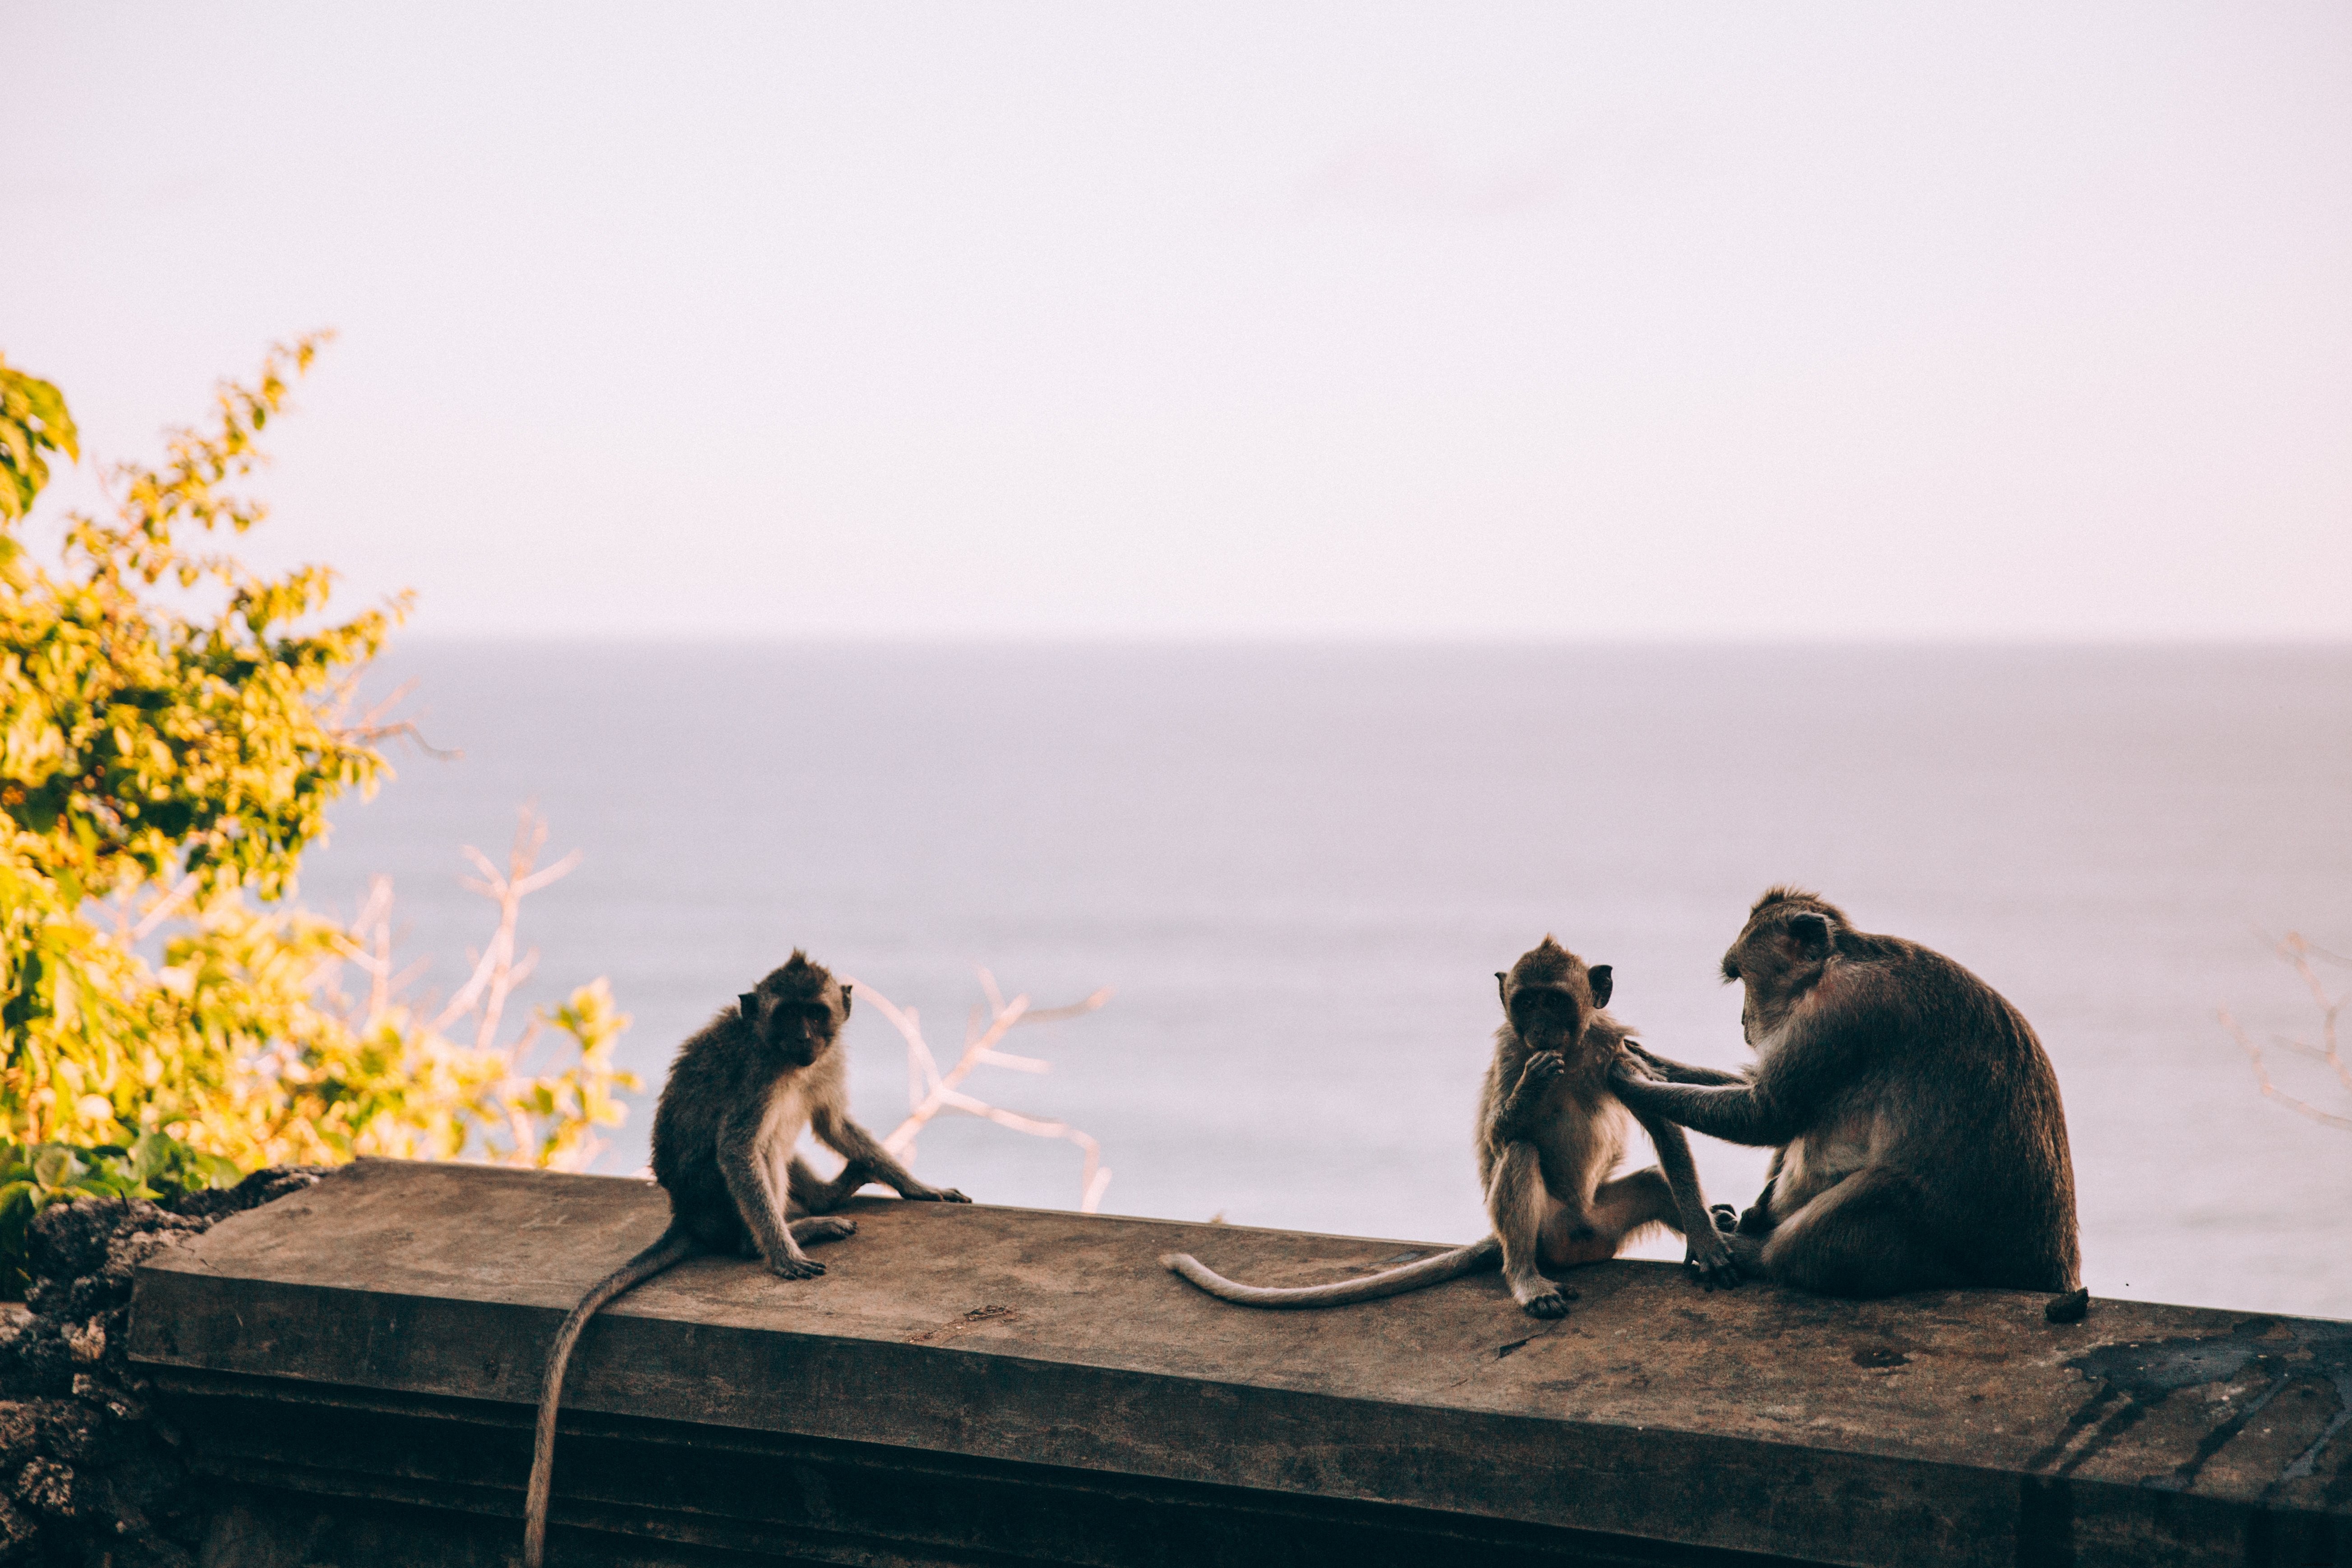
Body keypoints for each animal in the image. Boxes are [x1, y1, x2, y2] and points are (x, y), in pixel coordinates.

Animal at [522, 951, 970, 1568]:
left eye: (816, 1013)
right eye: (787, 1016)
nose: (804, 1038)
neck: (782, 1057)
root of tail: (686, 1214)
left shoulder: (825, 1065)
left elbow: (834, 1123)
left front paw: (917, 1186)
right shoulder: (757, 1078)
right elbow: (737, 1146)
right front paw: (783, 1254)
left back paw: (828, 1197)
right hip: (718, 1199)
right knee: (762, 1149)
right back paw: (792, 1230)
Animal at [1162, 937, 1740, 1317]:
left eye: (1555, 999)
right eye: (1527, 1001)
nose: (1541, 1027)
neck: (1572, 1054)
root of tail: (1579, 1237)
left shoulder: (1612, 1048)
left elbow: (1663, 1127)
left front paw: (1707, 1243)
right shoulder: (1510, 1051)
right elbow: (1499, 1138)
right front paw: (1533, 1084)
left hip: (1603, 1217)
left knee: (1653, 1181)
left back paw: (1710, 1229)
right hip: (1546, 1231)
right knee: (1521, 1153)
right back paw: (1528, 1281)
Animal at [1606, 888, 2083, 1317]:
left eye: (1742, 976)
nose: (1743, 1021)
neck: (1834, 964)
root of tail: (2054, 1276)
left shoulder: (1838, 1012)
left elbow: (1769, 1115)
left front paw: (1633, 1083)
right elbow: (1768, 1099)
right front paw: (1654, 1062)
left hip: (1936, 1251)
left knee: (1881, 1190)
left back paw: (1754, 1252)